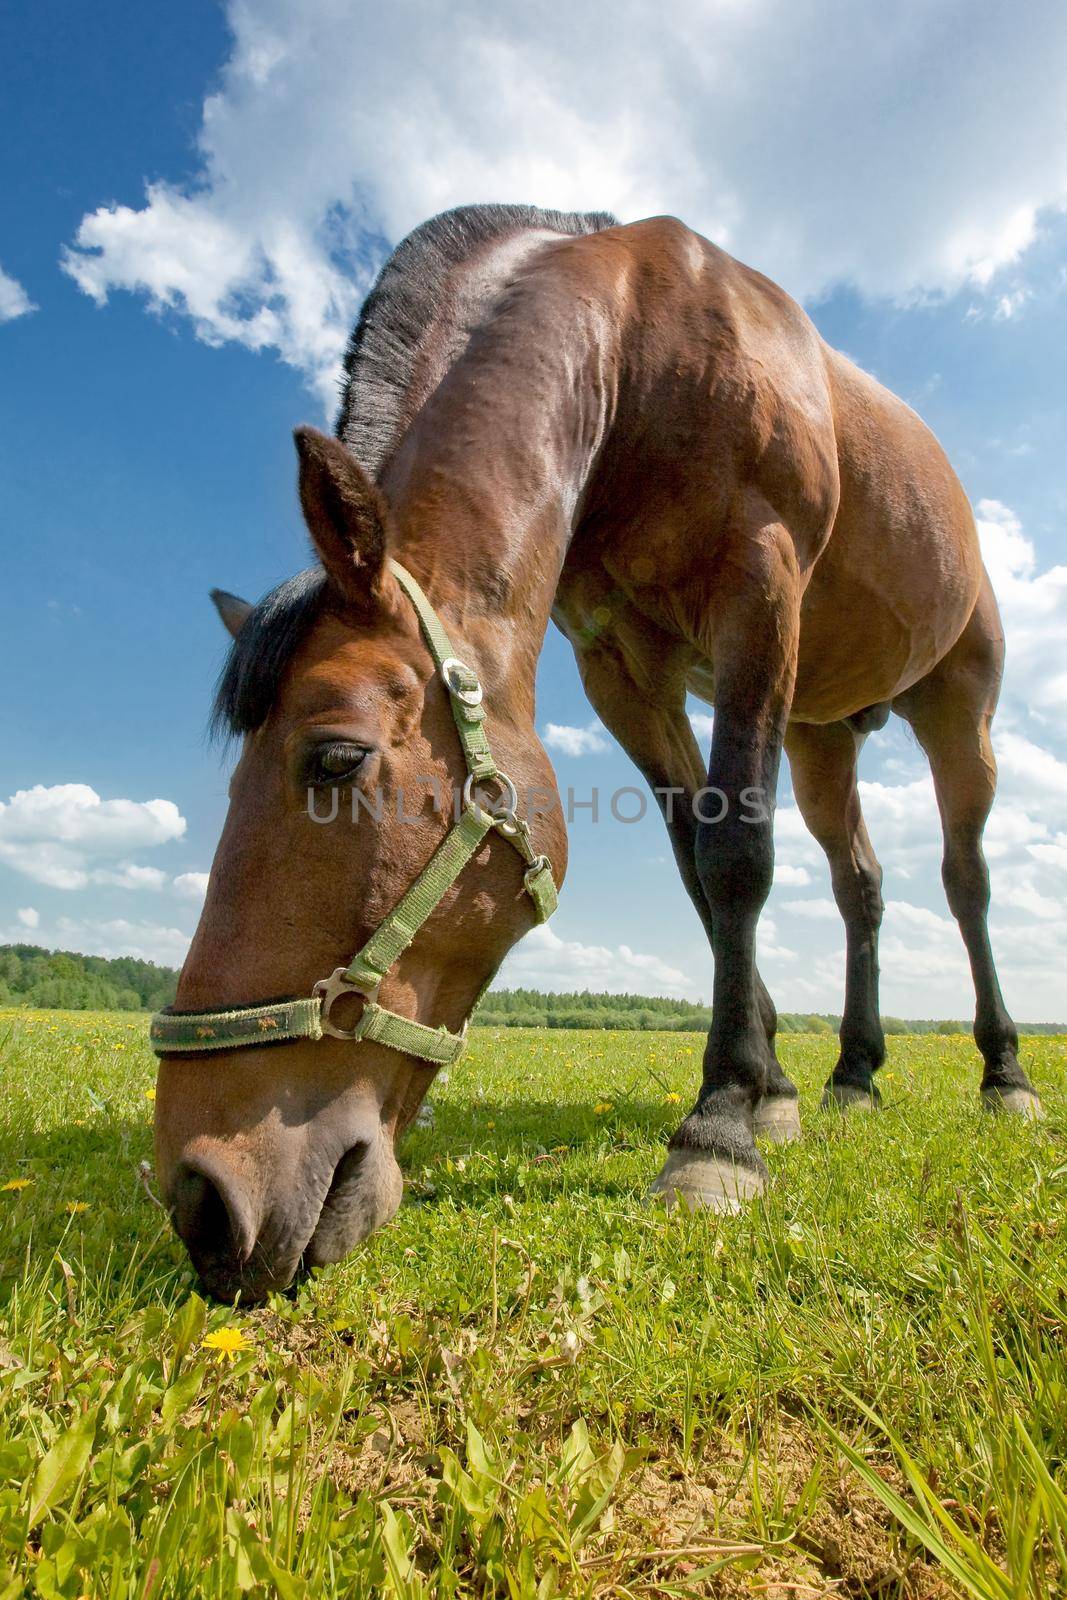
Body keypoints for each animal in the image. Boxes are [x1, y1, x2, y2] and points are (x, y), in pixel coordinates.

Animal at [156, 203, 1043, 1299]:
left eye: (335, 759)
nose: (202, 1195)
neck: (635, 353)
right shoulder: (621, 667)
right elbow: (700, 873)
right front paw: (767, 1092)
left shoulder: (758, 592)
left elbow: (737, 857)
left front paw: (716, 1133)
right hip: (817, 736)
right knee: (860, 888)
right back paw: (853, 1074)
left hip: (959, 712)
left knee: (965, 882)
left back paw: (1003, 1073)